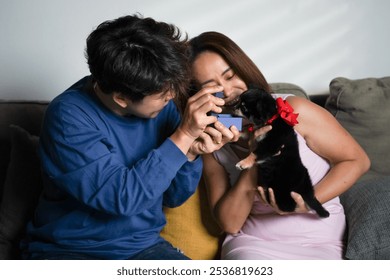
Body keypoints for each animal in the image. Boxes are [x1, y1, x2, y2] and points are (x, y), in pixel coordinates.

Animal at [235, 86, 330, 218]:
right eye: (238, 101)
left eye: (244, 107)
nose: (234, 107)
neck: (269, 120)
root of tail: (307, 192)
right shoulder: (257, 134)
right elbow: (247, 131)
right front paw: (236, 132)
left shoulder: (271, 144)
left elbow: (255, 153)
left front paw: (243, 163)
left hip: (283, 193)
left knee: (288, 207)